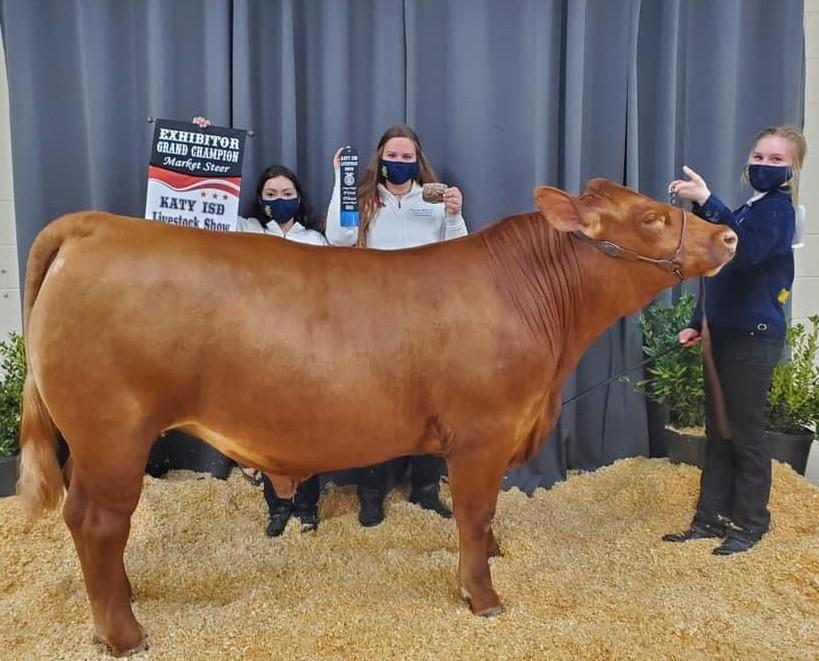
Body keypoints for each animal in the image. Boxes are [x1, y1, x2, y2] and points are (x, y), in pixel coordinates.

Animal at [17, 179, 736, 656]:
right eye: (652, 217)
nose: (728, 234)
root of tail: (96, 225)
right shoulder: (482, 432)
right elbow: (474, 511)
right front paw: (482, 596)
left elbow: (486, 515)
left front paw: (492, 557)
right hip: (113, 432)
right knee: (98, 521)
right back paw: (124, 633)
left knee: (98, 529)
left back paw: (125, 601)